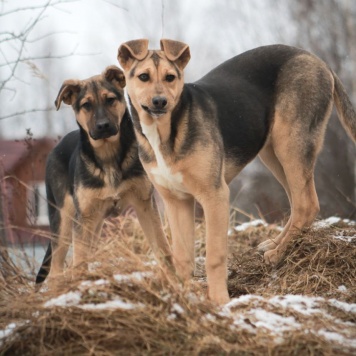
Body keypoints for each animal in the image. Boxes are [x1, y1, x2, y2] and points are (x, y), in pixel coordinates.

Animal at [35, 65, 172, 288]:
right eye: (86, 105)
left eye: (110, 100)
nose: (103, 126)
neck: (108, 156)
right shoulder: (83, 217)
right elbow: (78, 261)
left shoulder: (145, 205)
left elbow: (162, 247)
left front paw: (176, 280)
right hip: (64, 218)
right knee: (56, 268)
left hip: (95, 223)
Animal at [118, 39, 356, 304]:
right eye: (144, 77)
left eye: (170, 77)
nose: (160, 102)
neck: (166, 132)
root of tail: (317, 60)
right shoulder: (176, 201)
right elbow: (182, 256)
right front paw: (182, 295)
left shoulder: (215, 195)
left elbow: (214, 255)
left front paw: (219, 300)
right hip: (273, 152)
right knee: (298, 203)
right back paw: (274, 244)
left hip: (291, 143)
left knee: (307, 204)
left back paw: (277, 254)